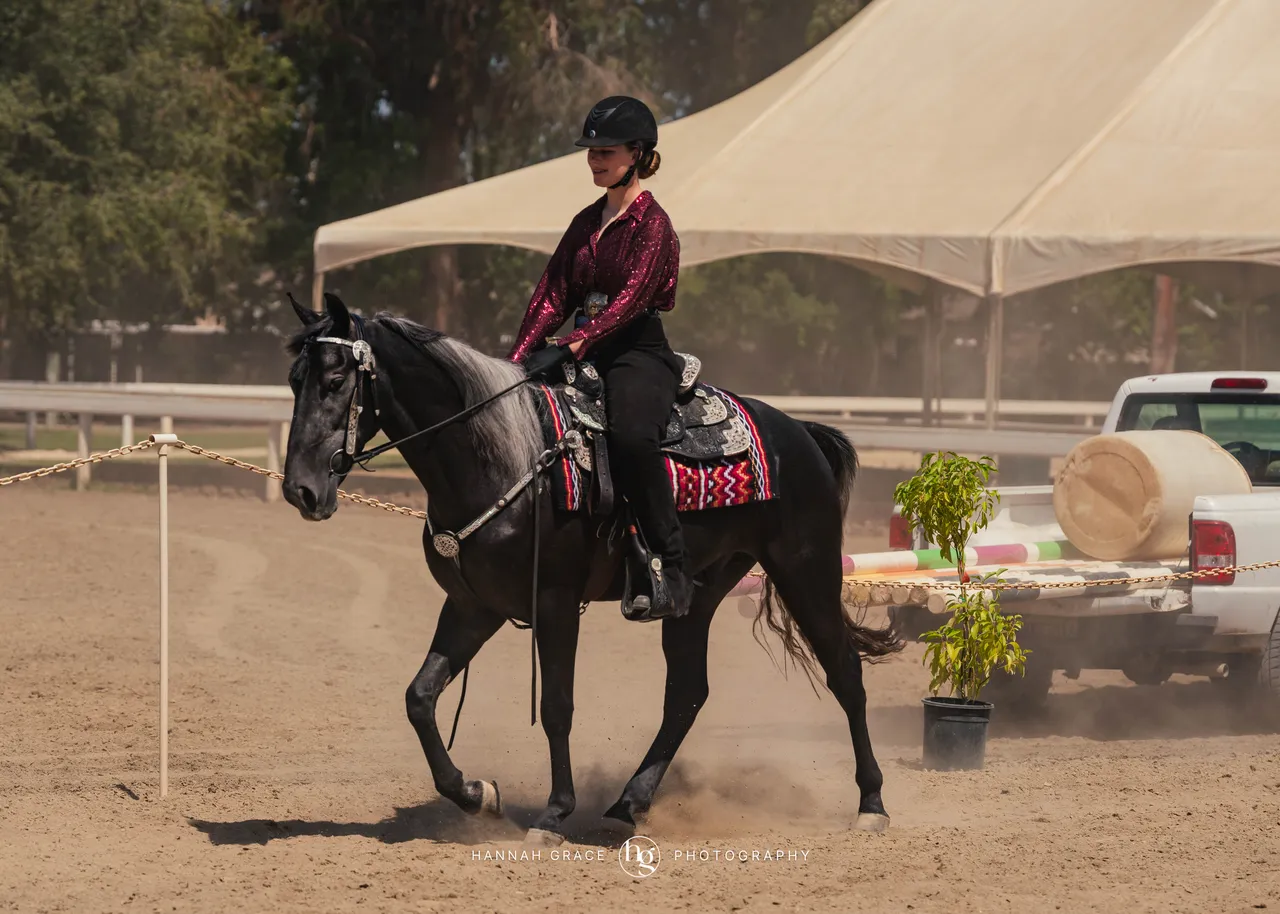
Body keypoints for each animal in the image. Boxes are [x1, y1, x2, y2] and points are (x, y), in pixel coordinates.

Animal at [281, 292, 903, 846]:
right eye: (293, 380)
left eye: (335, 381)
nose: (300, 491)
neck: (501, 456)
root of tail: (800, 433)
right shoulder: (473, 606)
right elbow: (420, 697)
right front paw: (478, 794)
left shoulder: (556, 604)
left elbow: (558, 707)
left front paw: (554, 814)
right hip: (698, 595)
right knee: (687, 693)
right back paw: (628, 804)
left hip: (806, 571)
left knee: (845, 672)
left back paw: (872, 804)